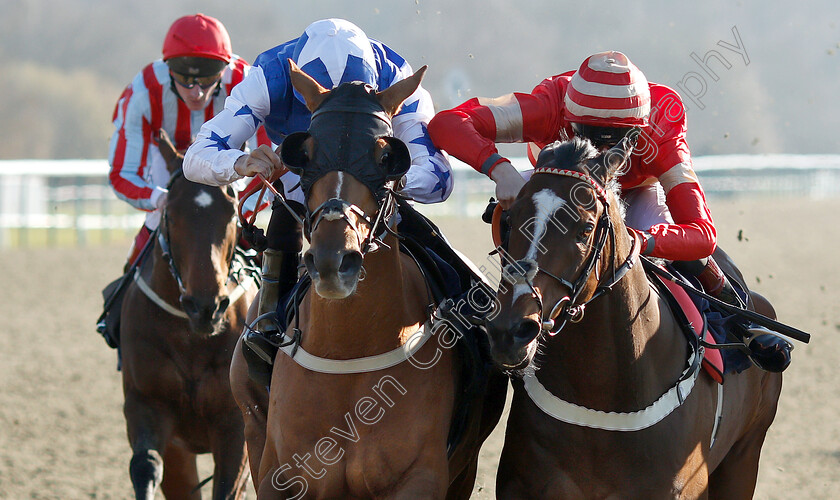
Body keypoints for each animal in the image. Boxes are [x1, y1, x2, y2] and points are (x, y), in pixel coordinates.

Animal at [116, 132, 258, 500]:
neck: (191, 339)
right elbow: (146, 467)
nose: (206, 306)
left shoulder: (235, 422)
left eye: (231, 213)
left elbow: (227, 486)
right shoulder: (146, 405)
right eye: (172, 215)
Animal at [228, 60, 506, 498]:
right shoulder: (279, 473)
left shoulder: (419, 477)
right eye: (304, 153)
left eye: (385, 156)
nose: (333, 260)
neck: (348, 352)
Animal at [482, 135, 784, 498]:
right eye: (509, 220)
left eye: (585, 228)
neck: (600, 398)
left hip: (744, 456)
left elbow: (701, 229)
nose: (510, 331)